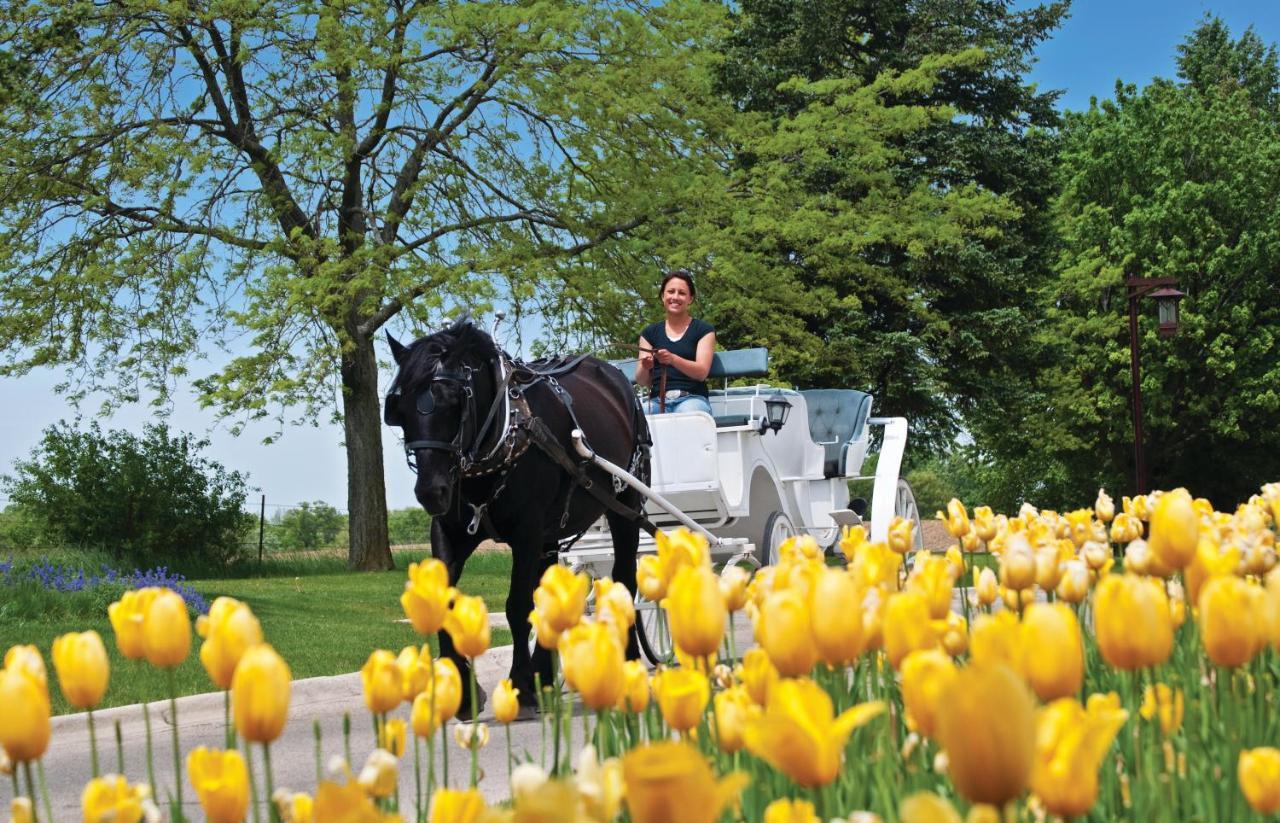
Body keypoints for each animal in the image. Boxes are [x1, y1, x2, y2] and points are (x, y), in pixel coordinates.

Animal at [384, 318, 650, 716]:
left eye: (452, 401)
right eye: (398, 409)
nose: (431, 491)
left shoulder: (527, 532)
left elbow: (517, 605)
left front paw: (520, 685)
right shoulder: (448, 531)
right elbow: (443, 599)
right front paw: (465, 693)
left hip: (625, 505)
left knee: (624, 581)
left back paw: (629, 662)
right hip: (552, 533)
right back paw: (545, 676)